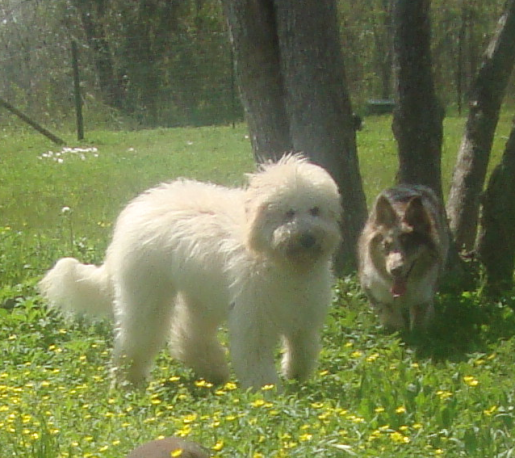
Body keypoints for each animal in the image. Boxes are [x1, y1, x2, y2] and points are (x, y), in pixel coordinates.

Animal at [40, 155, 342, 390]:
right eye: (288, 213)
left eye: (315, 210)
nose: (307, 238)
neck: (278, 260)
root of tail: (137, 207)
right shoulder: (253, 317)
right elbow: (255, 355)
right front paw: (268, 391)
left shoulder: (305, 314)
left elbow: (303, 346)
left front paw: (296, 375)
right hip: (147, 293)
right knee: (138, 337)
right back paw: (128, 382)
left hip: (200, 294)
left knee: (189, 336)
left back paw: (213, 371)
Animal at [358, 184, 448, 330]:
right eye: (386, 245)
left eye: (408, 244)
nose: (395, 270)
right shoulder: (376, 292)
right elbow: (393, 320)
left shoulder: (422, 298)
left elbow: (418, 324)